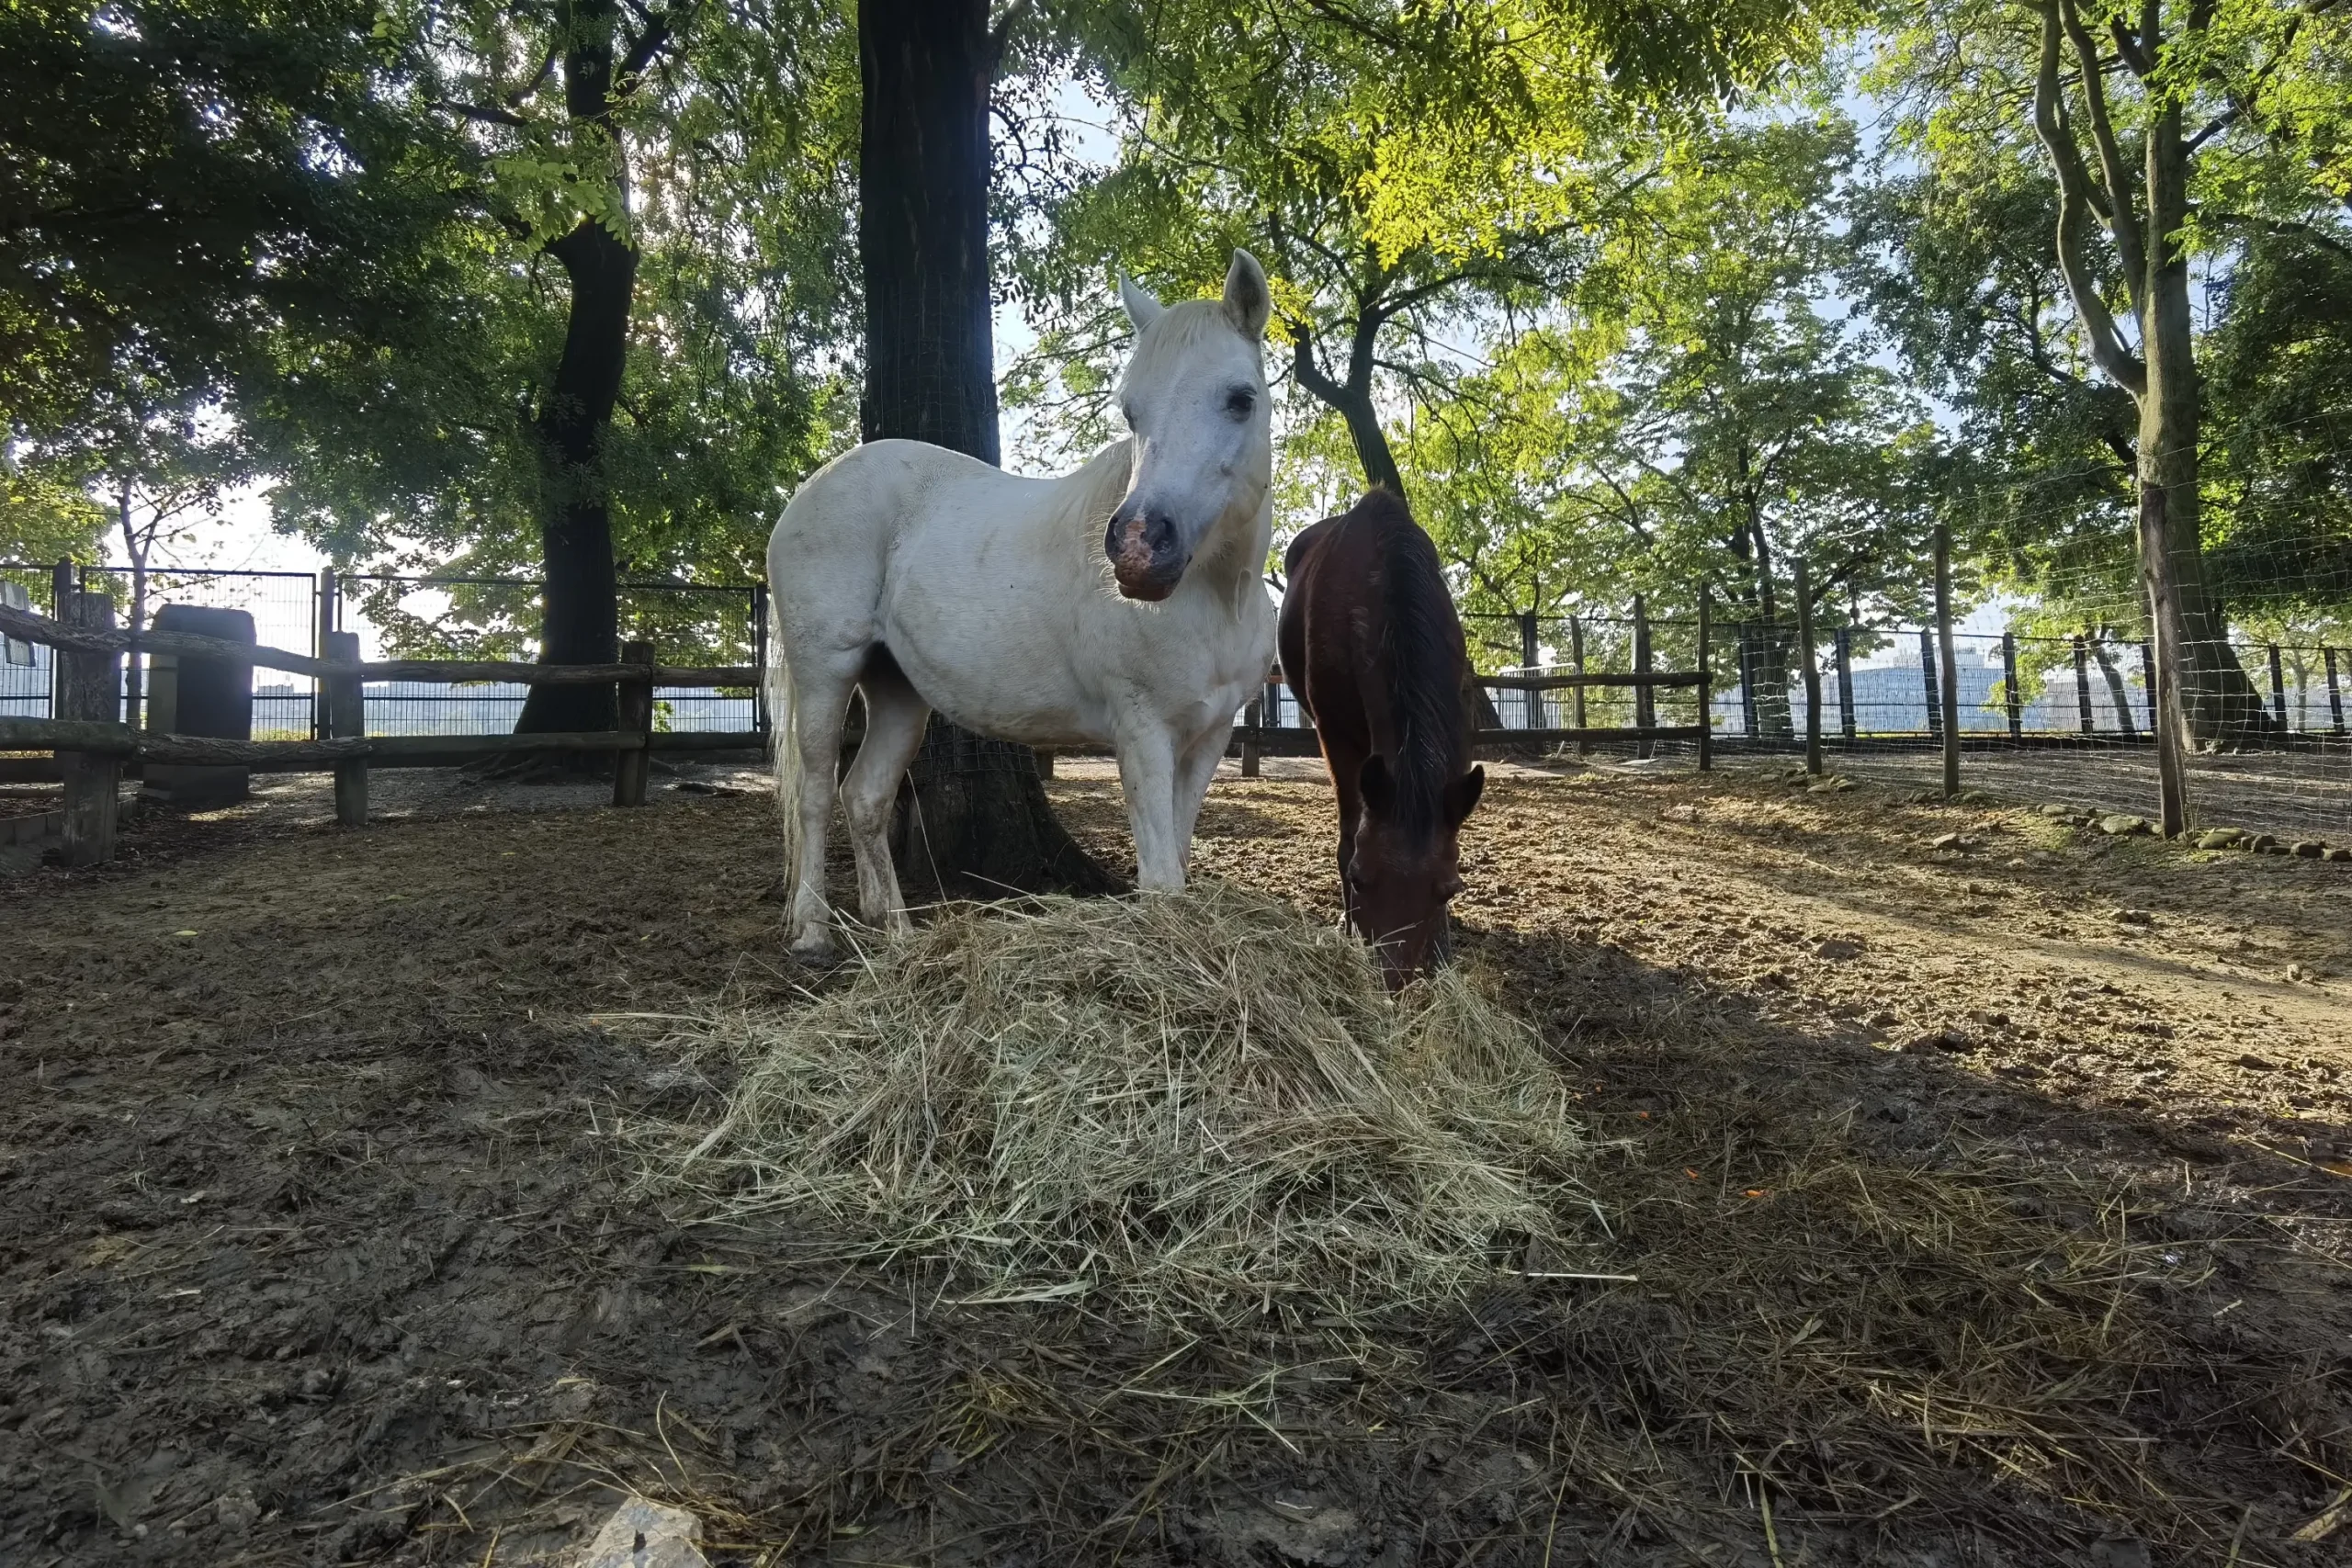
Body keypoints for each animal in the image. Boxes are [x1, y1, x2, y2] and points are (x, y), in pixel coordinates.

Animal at [766, 247, 1279, 959]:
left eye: (1240, 399)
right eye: (1132, 412)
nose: (1138, 547)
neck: (1218, 596)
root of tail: (809, 491)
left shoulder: (1210, 735)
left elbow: (1177, 852)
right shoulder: (1142, 732)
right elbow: (1160, 877)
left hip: (897, 690)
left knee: (863, 795)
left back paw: (894, 928)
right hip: (826, 670)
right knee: (815, 791)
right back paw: (814, 929)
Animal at [1279, 491, 1476, 987]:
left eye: (1449, 890)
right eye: (1358, 877)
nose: (1390, 980)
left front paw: (1443, 953)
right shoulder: (1334, 733)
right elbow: (1349, 831)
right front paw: (1346, 926)